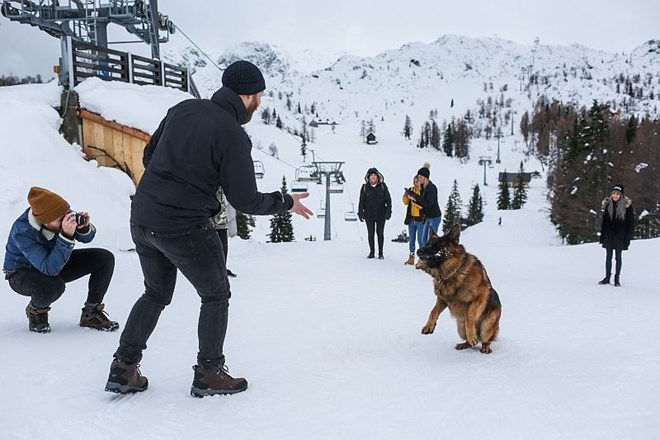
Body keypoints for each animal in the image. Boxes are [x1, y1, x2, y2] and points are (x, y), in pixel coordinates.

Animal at [416, 223, 502, 354]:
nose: (418, 250)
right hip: (460, 327)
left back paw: (484, 346)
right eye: (427, 244)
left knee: (485, 339)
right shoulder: (442, 300)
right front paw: (429, 326)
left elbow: (470, 315)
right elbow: (433, 311)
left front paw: (471, 335)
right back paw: (464, 344)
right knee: (469, 341)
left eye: (437, 245)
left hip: (487, 325)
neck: (452, 272)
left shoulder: (481, 295)